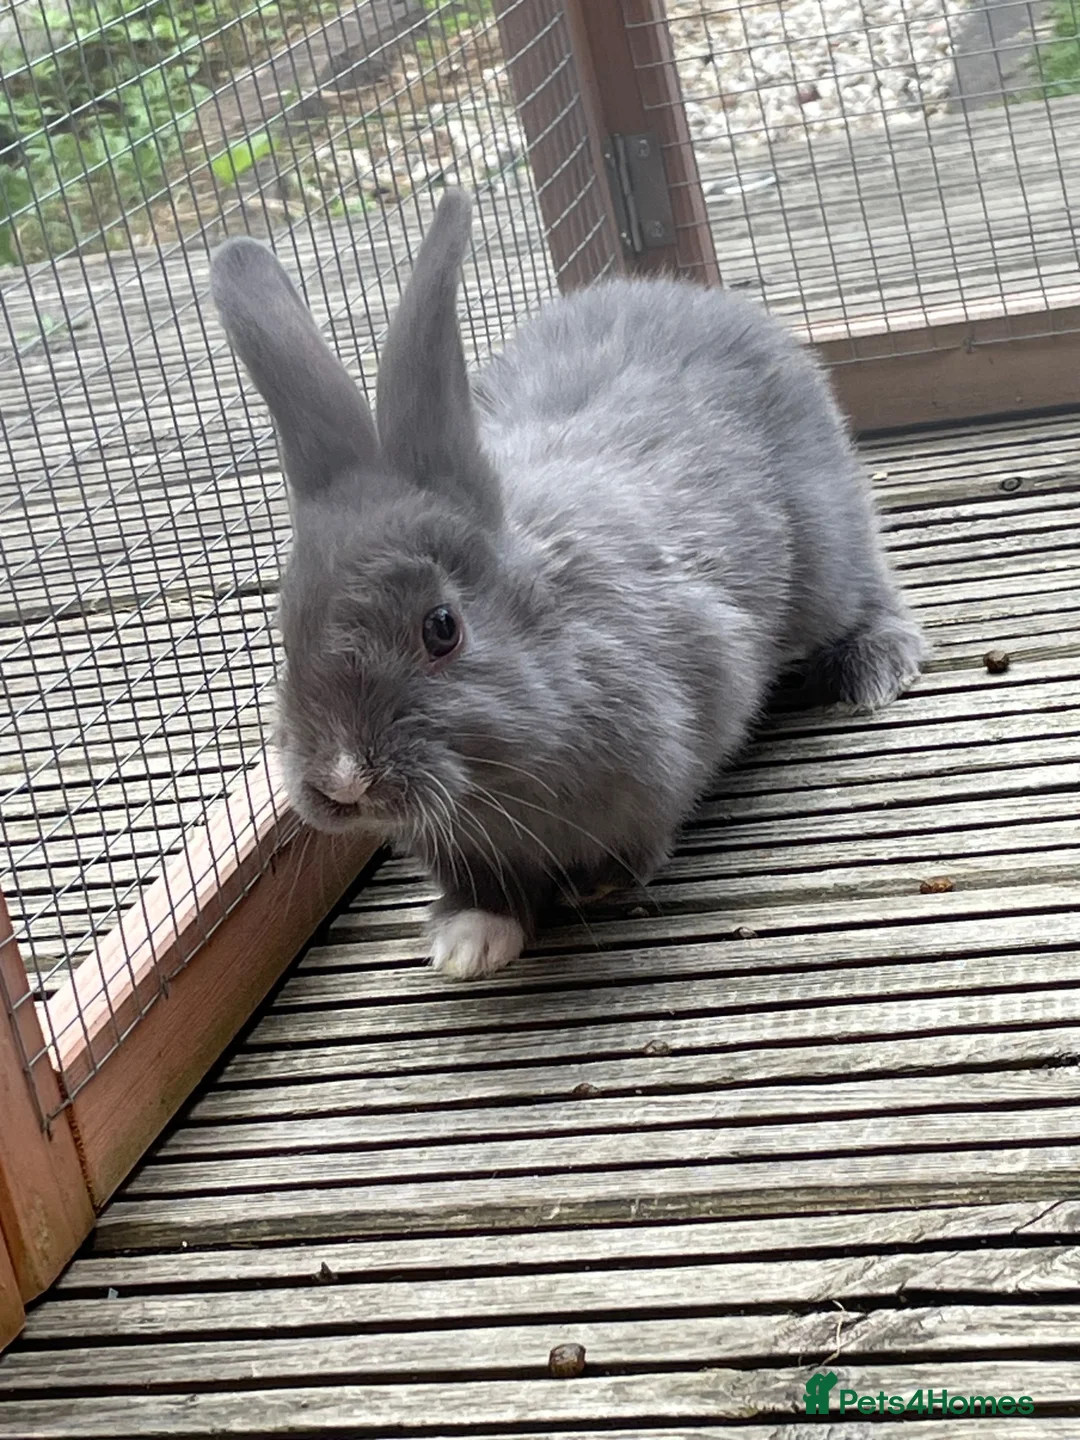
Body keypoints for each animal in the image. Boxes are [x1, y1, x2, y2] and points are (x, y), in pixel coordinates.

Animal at [210, 187, 925, 981]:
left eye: (441, 629)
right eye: (287, 632)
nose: (342, 781)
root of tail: (696, 297)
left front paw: (594, 888)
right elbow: (480, 892)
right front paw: (469, 943)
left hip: (828, 555)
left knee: (870, 591)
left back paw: (873, 671)